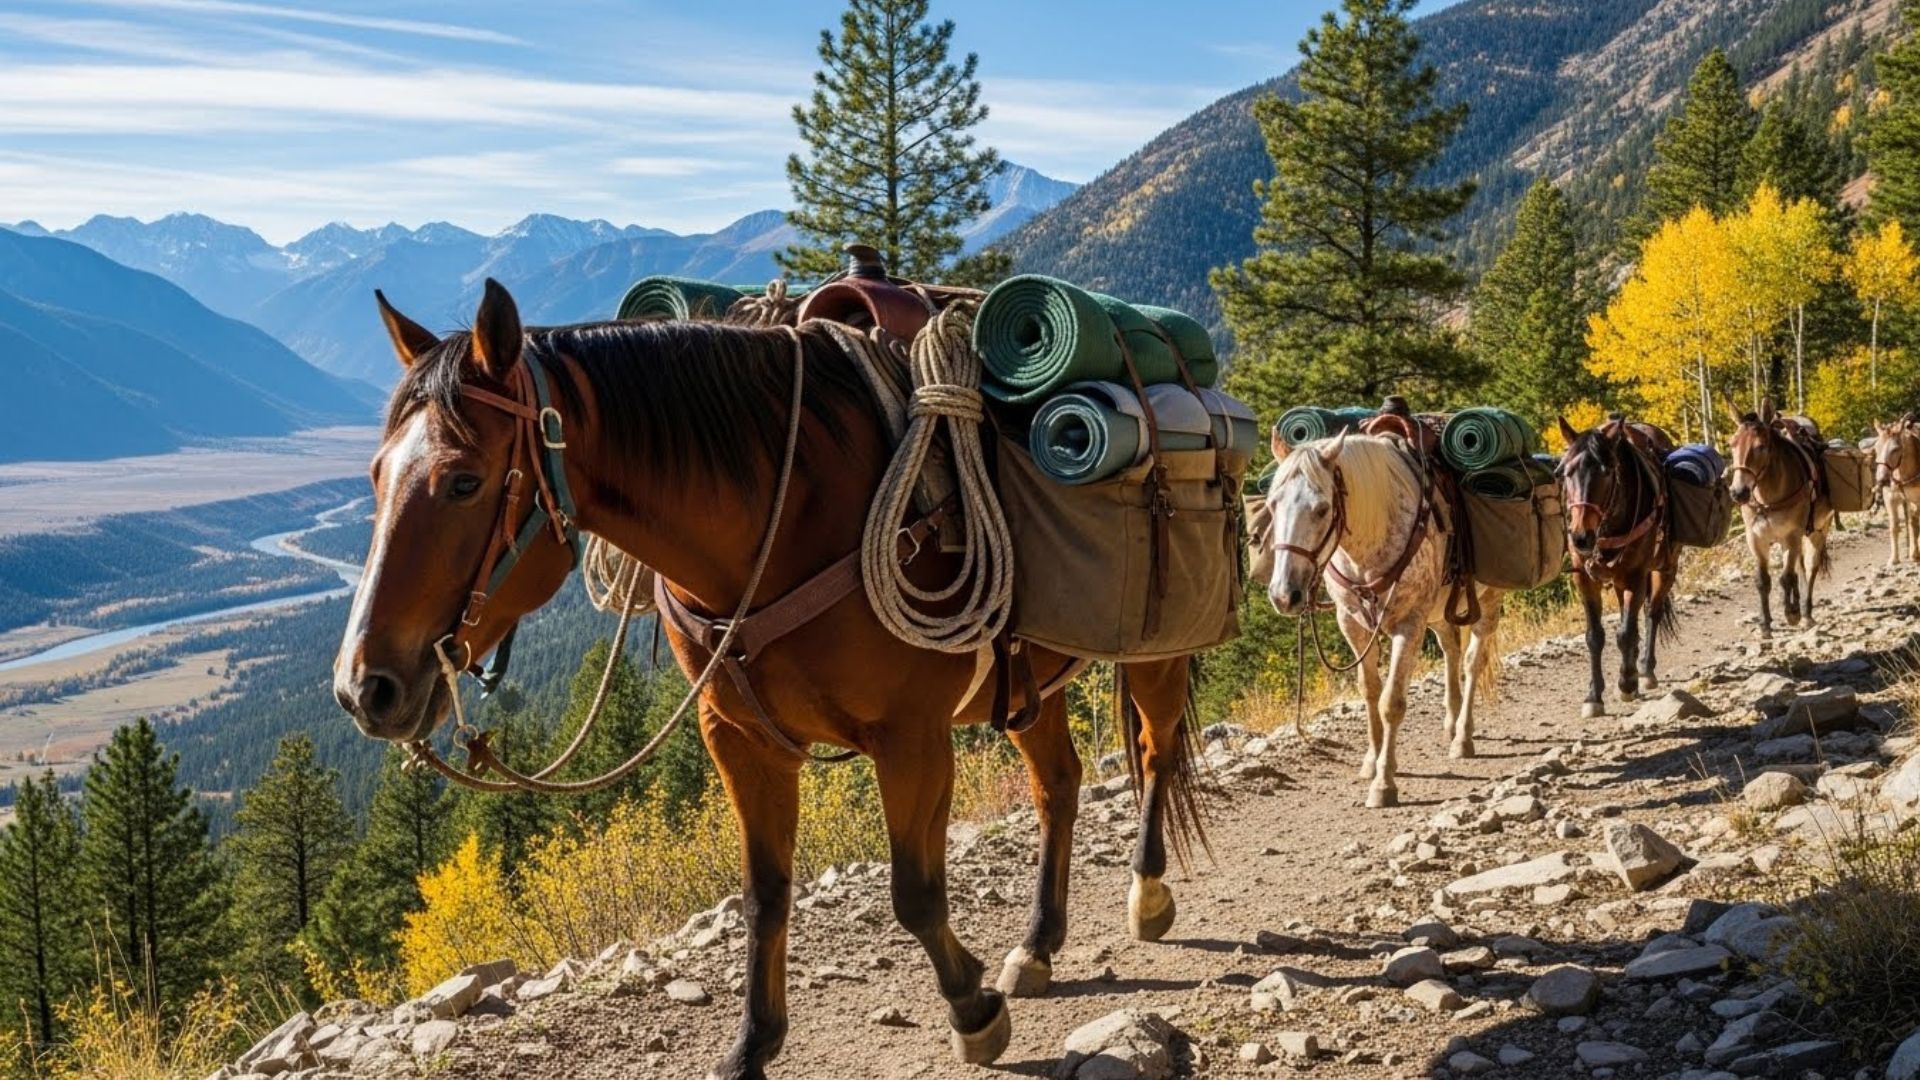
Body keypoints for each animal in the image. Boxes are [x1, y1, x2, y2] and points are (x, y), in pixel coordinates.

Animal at [330, 281, 1208, 1079]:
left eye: (465, 481)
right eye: (373, 475)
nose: (363, 688)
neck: (781, 520)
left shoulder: (911, 739)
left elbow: (915, 893)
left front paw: (972, 1010)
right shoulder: (741, 740)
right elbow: (764, 894)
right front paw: (753, 1045)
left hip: (1155, 647)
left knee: (1155, 749)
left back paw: (1147, 894)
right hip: (1033, 689)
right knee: (1058, 785)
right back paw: (1036, 947)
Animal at [1262, 430, 1504, 808]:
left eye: (1322, 509)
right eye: (1272, 505)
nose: (1285, 595)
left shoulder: (1409, 624)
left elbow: (1392, 701)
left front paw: (1384, 783)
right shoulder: (1353, 625)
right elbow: (1369, 690)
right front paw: (1371, 761)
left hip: (1488, 600)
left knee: (1472, 660)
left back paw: (1462, 737)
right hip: (1438, 614)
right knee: (1450, 647)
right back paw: (1450, 722)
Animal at [1554, 416, 1680, 718]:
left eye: (1607, 471)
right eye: (1564, 473)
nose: (1581, 536)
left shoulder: (1636, 576)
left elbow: (1625, 632)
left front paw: (1626, 682)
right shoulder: (1585, 580)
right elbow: (1594, 636)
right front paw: (1593, 696)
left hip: (1664, 568)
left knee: (1652, 613)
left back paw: (1644, 670)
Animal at [1726, 398, 1834, 639]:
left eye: (1760, 446)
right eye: (1732, 444)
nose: (1738, 492)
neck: (1769, 498)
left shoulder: (1791, 536)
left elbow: (1785, 577)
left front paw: (1791, 614)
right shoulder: (1756, 539)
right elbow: (1763, 580)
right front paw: (1765, 624)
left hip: (1818, 530)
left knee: (1809, 569)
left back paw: (1805, 612)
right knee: (1798, 569)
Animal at [1873, 417, 1920, 564]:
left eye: (1895, 449)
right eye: (1876, 448)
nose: (1881, 480)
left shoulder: (1917, 500)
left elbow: (1914, 524)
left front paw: (1914, 553)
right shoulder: (1890, 498)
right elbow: (1894, 527)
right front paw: (1894, 559)